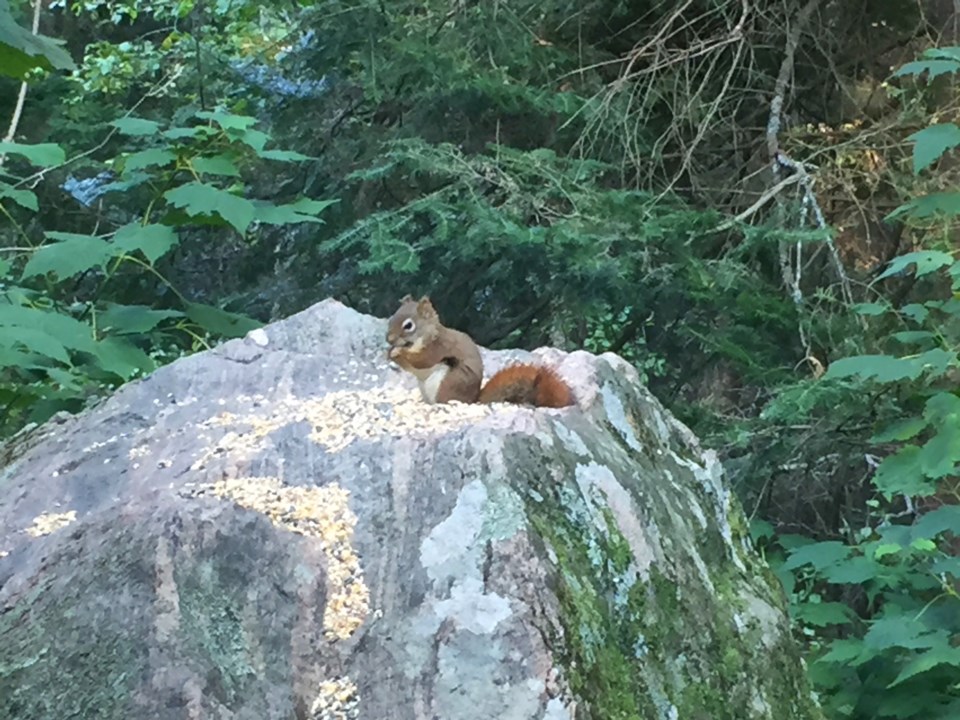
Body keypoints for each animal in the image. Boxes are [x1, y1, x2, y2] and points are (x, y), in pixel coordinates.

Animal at [386, 294, 572, 408]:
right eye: (392, 318)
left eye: (408, 325)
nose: (389, 339)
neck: (428, 336)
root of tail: (472, 401)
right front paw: (389, 352)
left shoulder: (440, 348)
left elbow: (422, 360)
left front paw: (397, 353)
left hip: (448, 383)